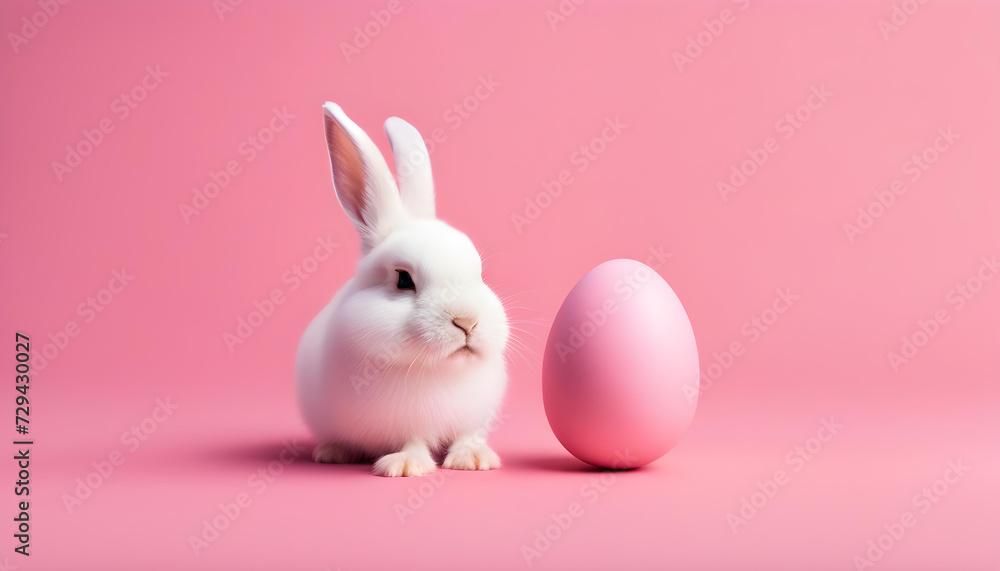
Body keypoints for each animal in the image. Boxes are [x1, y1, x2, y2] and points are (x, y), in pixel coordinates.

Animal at [295, 102, 510, 477]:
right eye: (403, 280)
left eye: (480, 272)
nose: (467, 321)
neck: (440, 370)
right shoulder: (404, 422)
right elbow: (413, 439)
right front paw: (407, 465)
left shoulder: (473, 417)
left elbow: (466, 436)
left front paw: (474, 459)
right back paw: (332, 452)